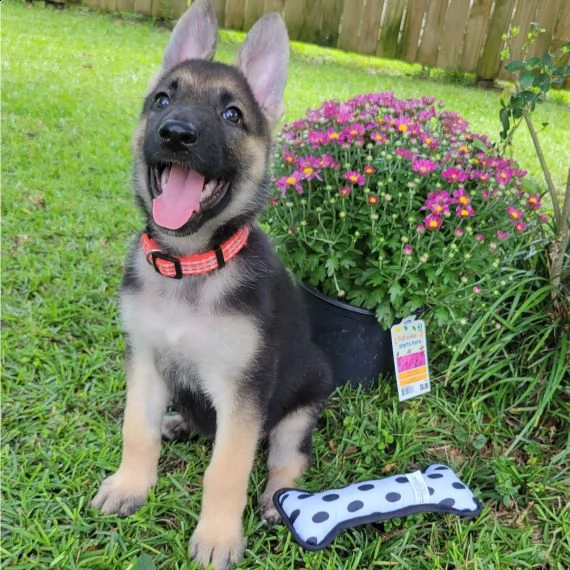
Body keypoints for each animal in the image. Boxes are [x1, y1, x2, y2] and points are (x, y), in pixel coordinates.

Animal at [91, 2, 332, 564]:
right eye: (163, 99)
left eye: (232, 115)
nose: (176, 133)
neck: (191, 266)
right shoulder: (145, 361)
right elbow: (136, 431)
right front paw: (131, 484)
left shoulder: (243, 393)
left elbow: (226, 470)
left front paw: (218, 536)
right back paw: (178, 422)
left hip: (303, 400)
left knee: (287, 460)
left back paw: (277, 500)